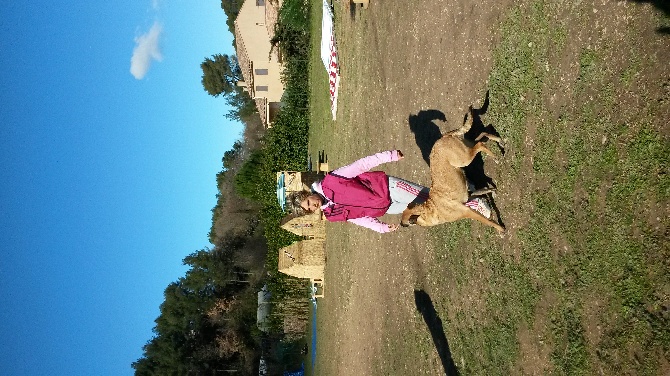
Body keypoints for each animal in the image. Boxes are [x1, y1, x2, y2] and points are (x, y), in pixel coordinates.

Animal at [402, 106, 506, 234]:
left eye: (406, 224)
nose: (400, 226)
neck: (430, 209)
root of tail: (442, 137)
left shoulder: (467, 212)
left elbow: (489, 222)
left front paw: (500, 229)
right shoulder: (469, 196)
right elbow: (486, 190)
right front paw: (494, 190)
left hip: (465, 158)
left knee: (480, 144)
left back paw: (496, 156)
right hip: (466, 147)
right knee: (482, 135)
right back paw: (500, 141)